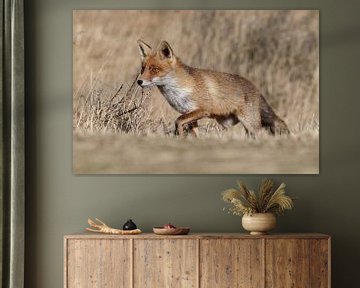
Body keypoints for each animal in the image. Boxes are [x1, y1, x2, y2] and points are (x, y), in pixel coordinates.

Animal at [136, 39, 290, 137]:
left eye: (155, 69)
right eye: (143, 68)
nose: (139, 81)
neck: (178, 90)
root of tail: (255, 87)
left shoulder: (203, 109)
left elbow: (178, 121)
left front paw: (178, 135)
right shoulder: (190, 114)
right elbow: (194, 133)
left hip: (250, 124)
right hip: (226, 123)